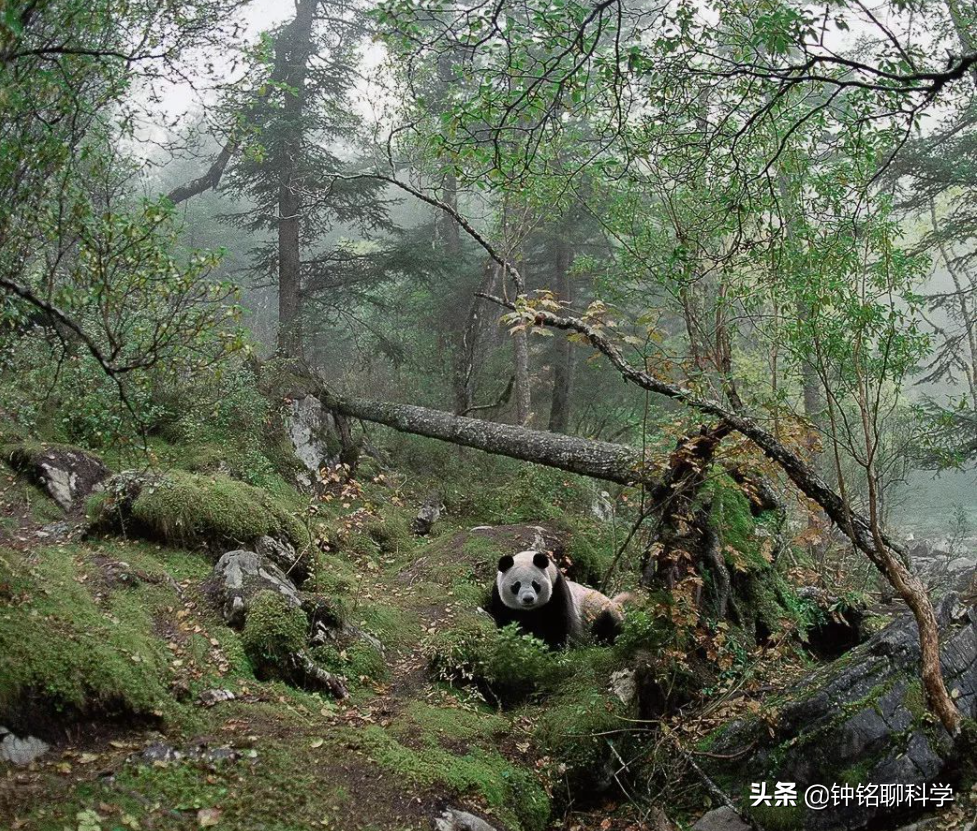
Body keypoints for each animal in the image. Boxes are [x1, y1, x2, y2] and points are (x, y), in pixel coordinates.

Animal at [492, 552, 628, 648]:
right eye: (516, 585)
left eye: (535, 584)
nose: (528, 599)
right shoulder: (500, 599)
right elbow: (506, 622)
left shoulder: (557, 589)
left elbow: (556, 623)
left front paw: (552, 650)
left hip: (599, 610)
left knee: (609, 627)